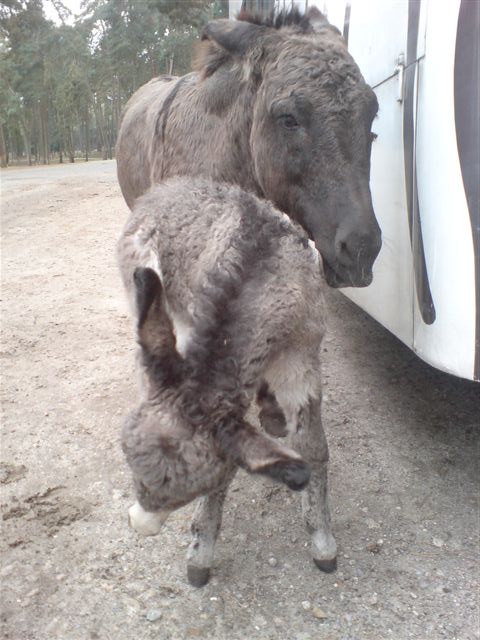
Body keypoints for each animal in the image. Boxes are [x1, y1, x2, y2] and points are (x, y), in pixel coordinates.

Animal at [117, 178, 334, 588]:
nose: (139, 525)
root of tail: (167, 188)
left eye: (185, 493)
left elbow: (313, 448)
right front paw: (202, 548)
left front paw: (321, 537)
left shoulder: (300, 363)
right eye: (132, 467)